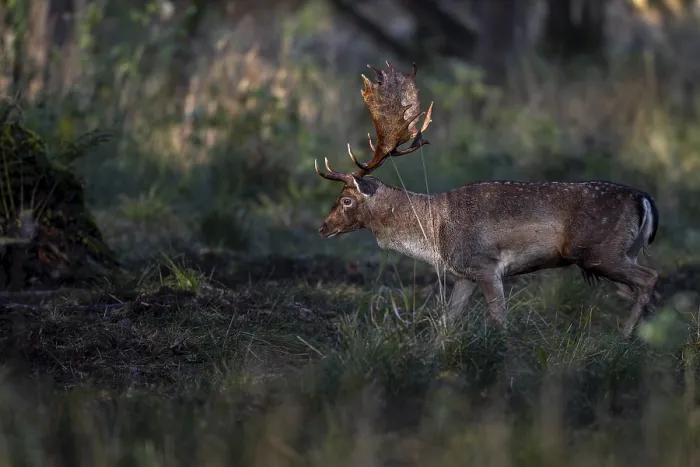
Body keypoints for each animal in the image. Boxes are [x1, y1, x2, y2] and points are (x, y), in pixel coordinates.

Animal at [315, 61, 660, 338]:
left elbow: (499, 319)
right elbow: (446, 322)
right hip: (624, 251)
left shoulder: (485, 264)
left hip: (598, 251)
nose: (322, 227)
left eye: (346, 200)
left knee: (651, 278)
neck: (434, 235)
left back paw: (625, 336)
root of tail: (644, 199)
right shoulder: (462, 275)